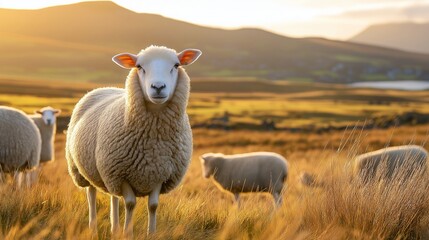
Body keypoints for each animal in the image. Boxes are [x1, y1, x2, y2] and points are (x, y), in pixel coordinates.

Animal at [65, 45, 202, 236]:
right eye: (139, 67)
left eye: (176, 65)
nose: (158, 87)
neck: (153, 143)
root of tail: (106, 88)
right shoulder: (121, 174)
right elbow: (130, 204)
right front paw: (127, 233)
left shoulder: (160, 174)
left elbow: (153, 205)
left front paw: (151, 233)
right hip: (83, 169)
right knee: (91, 194)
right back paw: (93, 227)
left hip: (108, 172)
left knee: (113, 196)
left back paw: (114, 227)